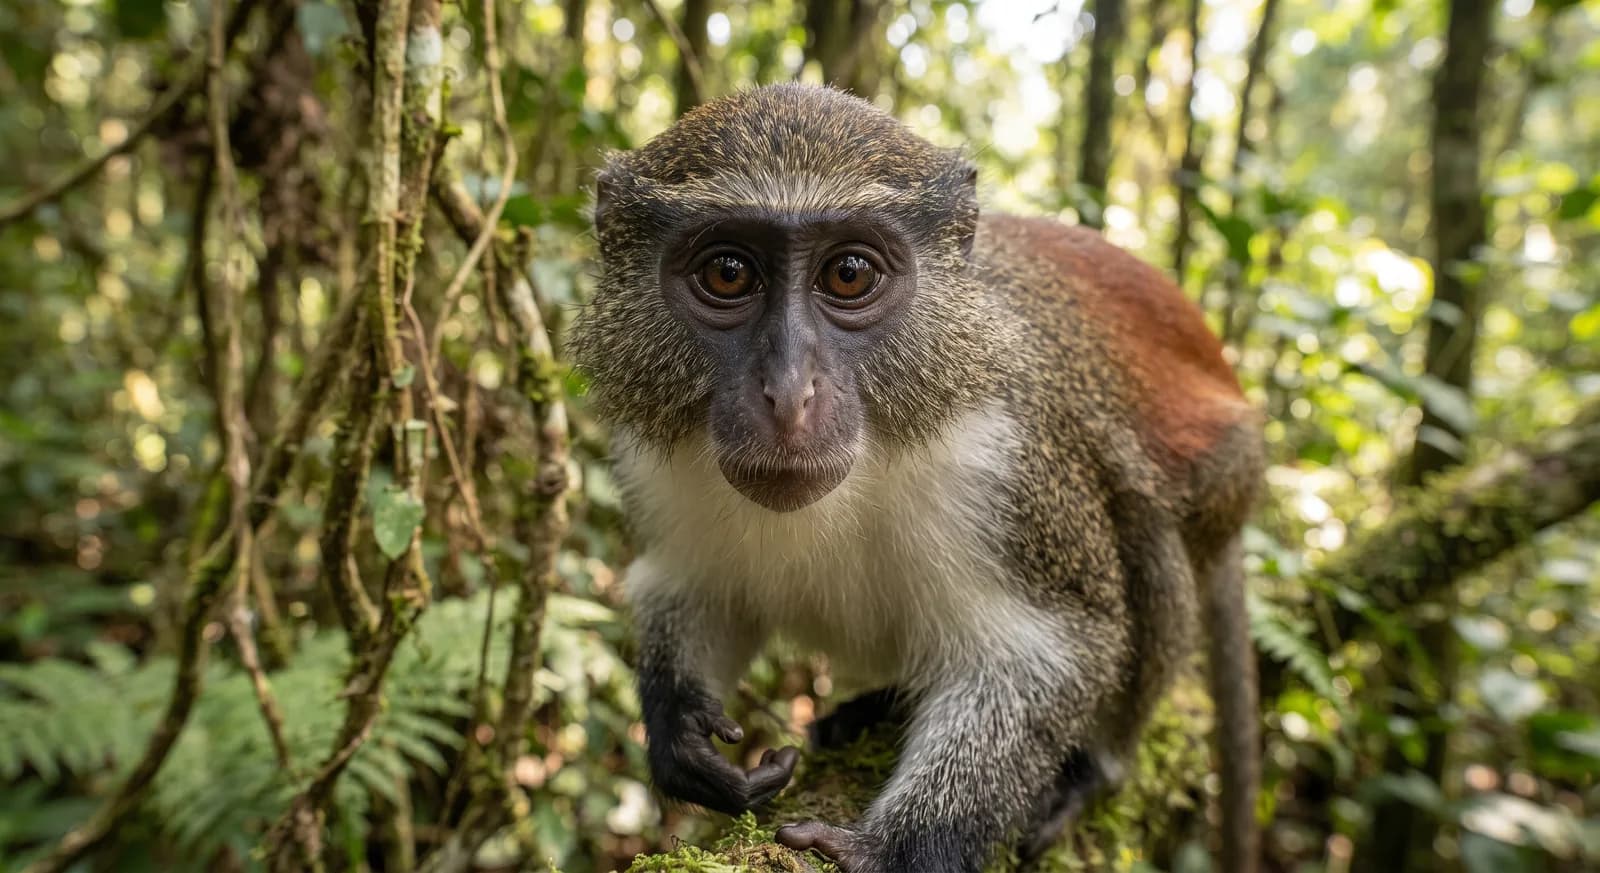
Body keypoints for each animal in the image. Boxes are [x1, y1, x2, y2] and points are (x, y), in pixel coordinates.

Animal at [570, 83, 1263, 873]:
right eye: (728, 273)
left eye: (848, 274)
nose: (789, 392)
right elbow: (689, 586)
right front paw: (681, 734)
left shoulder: (1011, 462)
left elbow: (1053, 648)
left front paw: (896, 848)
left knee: (1145, 524)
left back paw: (1094, 765)